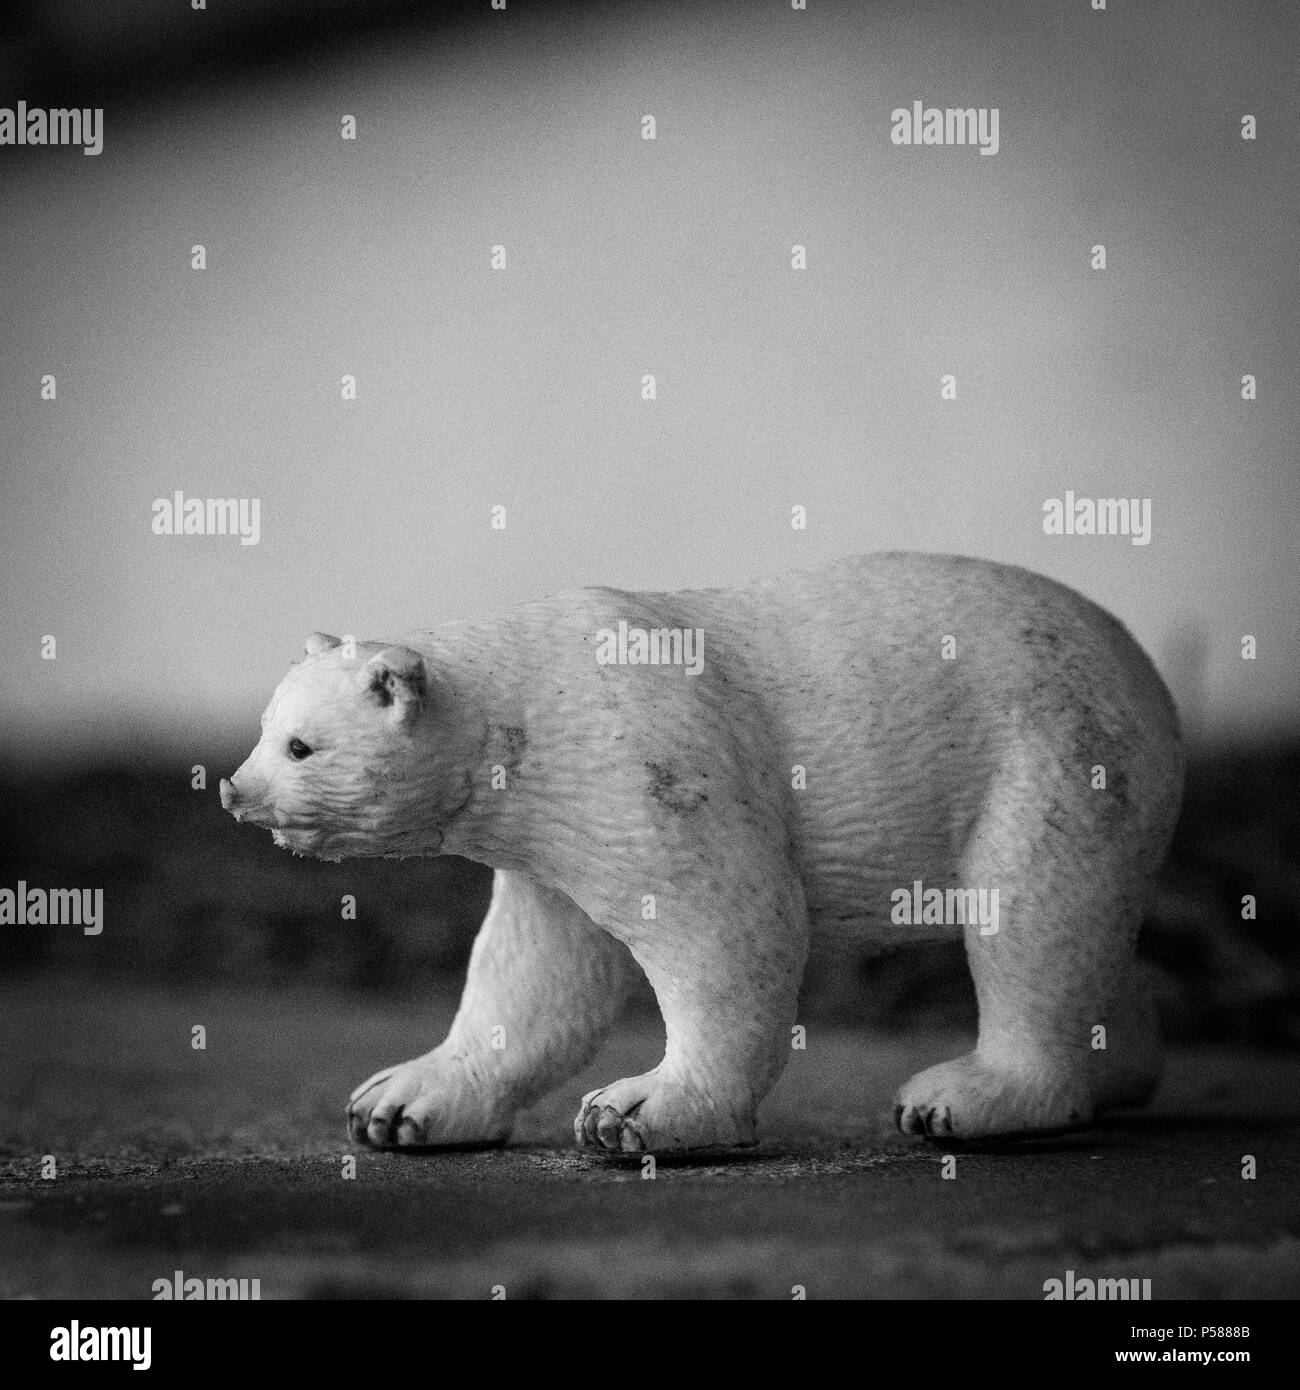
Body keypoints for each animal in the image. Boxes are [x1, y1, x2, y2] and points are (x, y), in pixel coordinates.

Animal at [219, 551, 1184, 1152]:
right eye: (265, 728)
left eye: (301, 747)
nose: (233, 791)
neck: (520, 714)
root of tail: (1145, 668)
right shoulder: (551, 829)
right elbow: (538, 972)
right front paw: (395, 1101)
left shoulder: (644, 758)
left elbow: (727, 920)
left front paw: (638, 1109)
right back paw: (1119, 1067)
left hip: (1053, 747)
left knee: (1030, 911)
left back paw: (963, 1099)